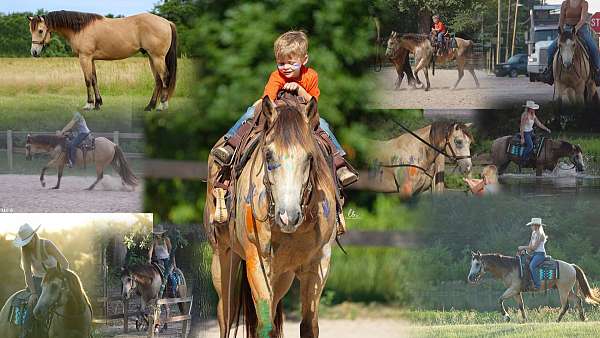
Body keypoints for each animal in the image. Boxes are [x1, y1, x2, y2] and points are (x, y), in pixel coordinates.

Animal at [27, 10, 177, 111]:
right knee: (158, 80)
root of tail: (166, 22)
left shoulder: (85, 58)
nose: (34, 52)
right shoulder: (91, 59)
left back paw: (162, 106)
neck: (80, 29)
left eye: (40, 30)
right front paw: (98, 103)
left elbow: (87, 80)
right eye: (30, 31)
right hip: (152, 58)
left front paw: (89, 104)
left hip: (157, 57)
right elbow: (94, 79)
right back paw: (150, 106)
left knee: (165, 77)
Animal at [204, 96, 340, 336]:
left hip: (282, 276)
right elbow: (265, 325)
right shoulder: (257, 261)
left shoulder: (319, 263)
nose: (289, 216)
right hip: (222, 257)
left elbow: (308, 326)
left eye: (309, 157)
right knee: (226, 314)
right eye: (268, 155)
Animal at [468, 251, 600, 322]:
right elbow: (521, 306)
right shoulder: (516, 292)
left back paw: (557, 320)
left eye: (477, 264)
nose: (470, 277)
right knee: (577, 300)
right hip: (567, 290)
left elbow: (500, 299)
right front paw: (524, 320)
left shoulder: (513, 289)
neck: (510, 267)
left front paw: (506, 317)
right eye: (472, 264)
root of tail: (572, 266)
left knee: (565, 305)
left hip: (563, 290)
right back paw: (582, 318)